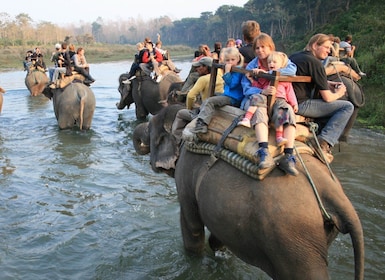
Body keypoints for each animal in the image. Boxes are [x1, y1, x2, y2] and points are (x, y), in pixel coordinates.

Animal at [133, 105, 364, 280]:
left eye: (150, 131)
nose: (140, 134)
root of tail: (335, 195)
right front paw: (218, 252)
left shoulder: (186, 174)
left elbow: (192, 227)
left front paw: (195, 260)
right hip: (320, 236)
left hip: (296, 244)